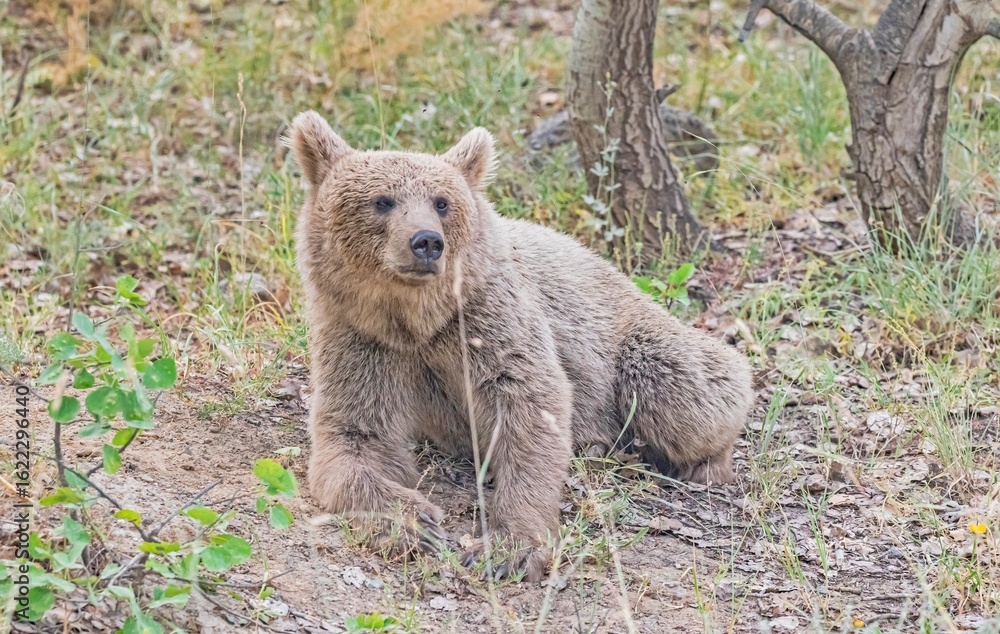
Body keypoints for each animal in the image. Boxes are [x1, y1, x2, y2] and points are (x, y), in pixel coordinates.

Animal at [288, 110, 754, 582]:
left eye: (441, 202)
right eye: (383, 201)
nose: (426, 242)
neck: (415, 321)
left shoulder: (488, 319)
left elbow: (530, 404)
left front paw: (507, 546)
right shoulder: (361, 337)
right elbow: (353, 436)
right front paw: (414, 522)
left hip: (636, 339)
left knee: (685, 390)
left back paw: (702, 461)